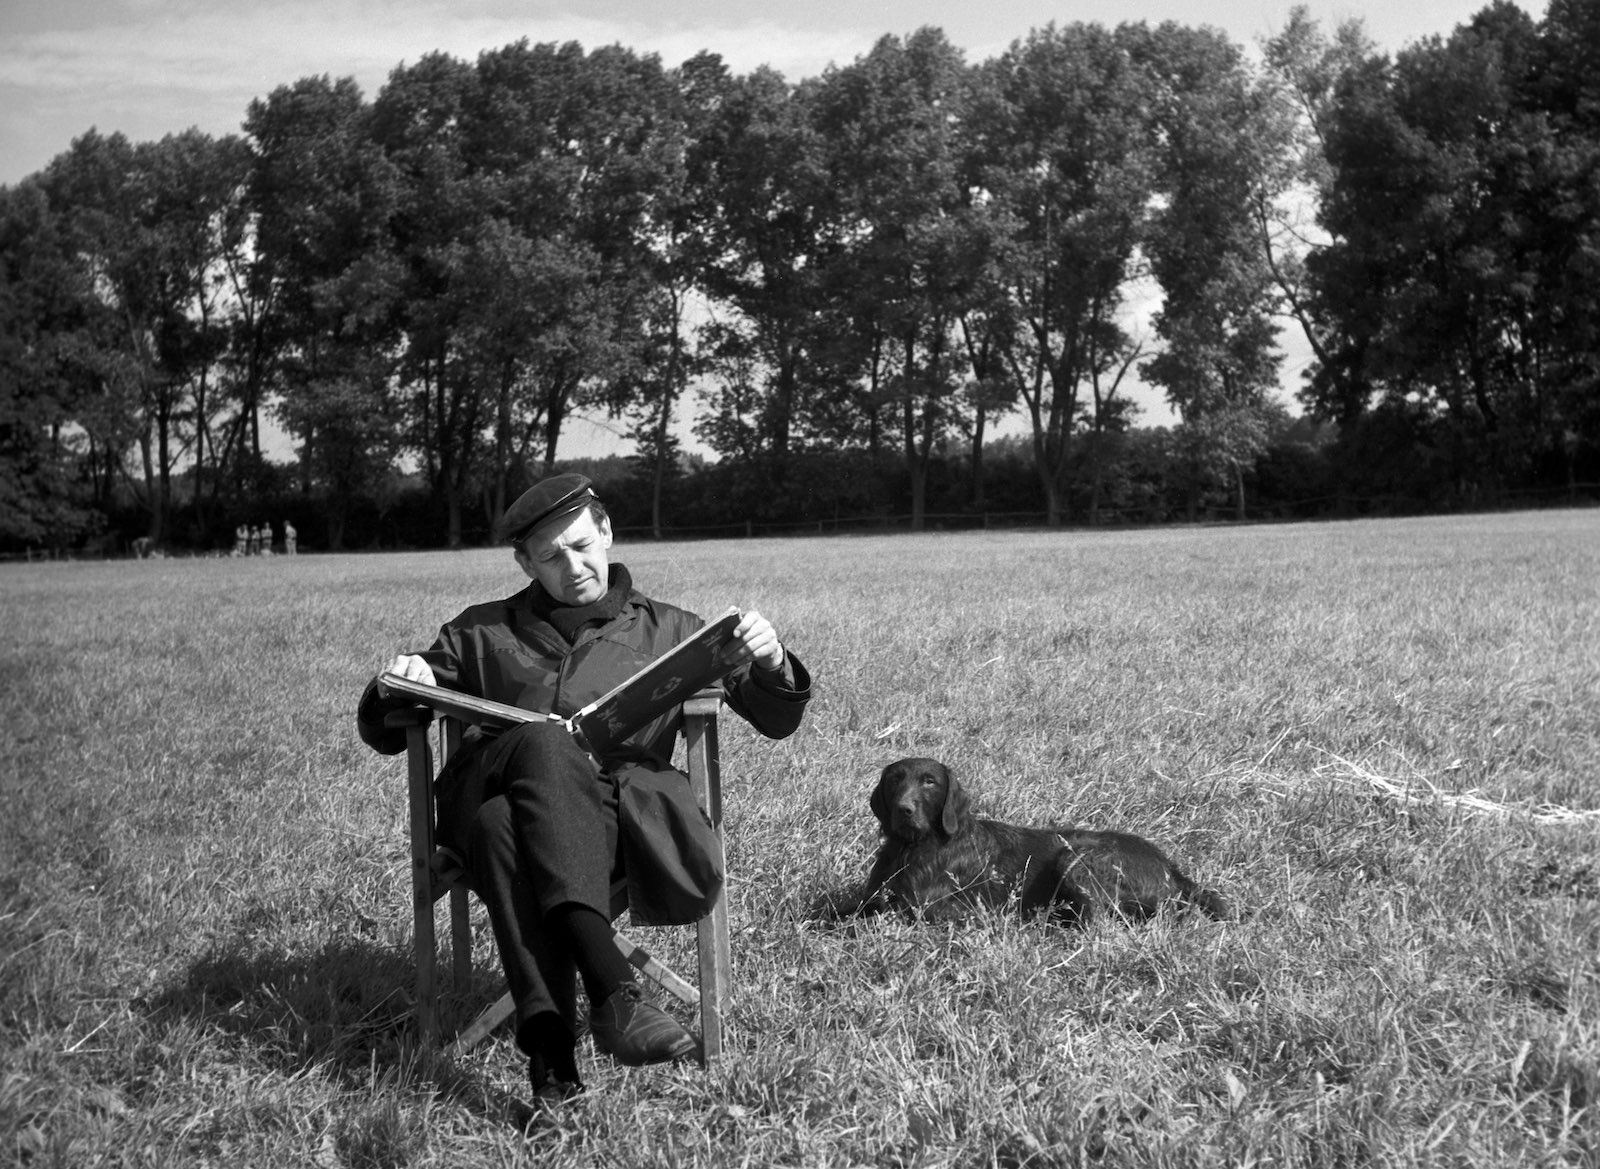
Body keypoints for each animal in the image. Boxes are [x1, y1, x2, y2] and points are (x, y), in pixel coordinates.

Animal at [847, 757, 1233, 926]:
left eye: (929, 781)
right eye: (895, 779)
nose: (904, 810)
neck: (910, 847)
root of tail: (1170, 866)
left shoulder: (933, 909)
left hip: (1076, 858)